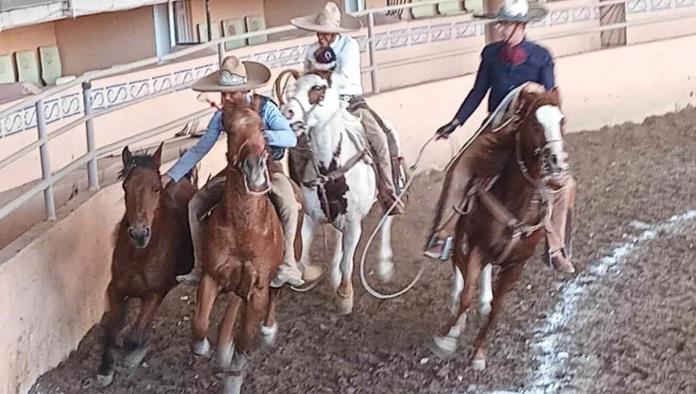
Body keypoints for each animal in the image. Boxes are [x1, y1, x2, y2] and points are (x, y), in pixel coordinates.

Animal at [95, 143, 196, 386]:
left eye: (156, 189)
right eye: (125, 187)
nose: (140, 233)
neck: (139, 256)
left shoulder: (154, 294)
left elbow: (133, 336)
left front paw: (134, 352)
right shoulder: (115, 289)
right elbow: (112, 330)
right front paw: (105, 369)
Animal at [190, 101, 286, 394]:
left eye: (263, 127)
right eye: (229, 129)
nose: (255, 168)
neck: (245, 230)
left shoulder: (257, 289)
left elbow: (245, 337)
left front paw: (234, 375)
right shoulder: (211, 276)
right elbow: (200, 323)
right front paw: (204, 347)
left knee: (275, 295)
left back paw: (267, 331)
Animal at [280, 73, 394, 314]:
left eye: (317, 88)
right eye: (293, 86)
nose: (287, 113)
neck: (330, 169)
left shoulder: (354, 224)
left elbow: (347, 261)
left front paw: (344, 295)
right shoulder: (312, 219)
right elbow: (303, 254)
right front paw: (308, 274)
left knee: (387, 220)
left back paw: (385, 265)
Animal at [430, 87, 572, 370]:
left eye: (561, 121)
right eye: (535, 124)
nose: (557, 165)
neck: (517, 204)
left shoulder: (515, 265)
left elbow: (497, 308)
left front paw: (479, 353)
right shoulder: (476, 247)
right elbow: (467, 294)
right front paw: (449, 339)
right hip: (459, 234)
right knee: (458, 266)